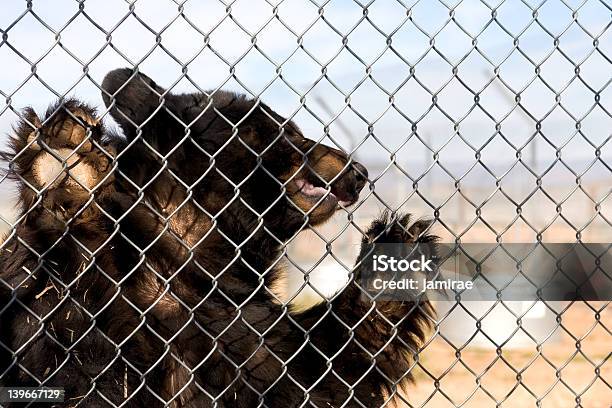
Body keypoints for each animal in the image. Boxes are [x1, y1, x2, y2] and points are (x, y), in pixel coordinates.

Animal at [0, 68, 436, 406]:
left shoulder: (246, 331)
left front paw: (395, 258)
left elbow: (321, 375)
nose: (359, 172)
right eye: (285, 130)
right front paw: (66, 159)